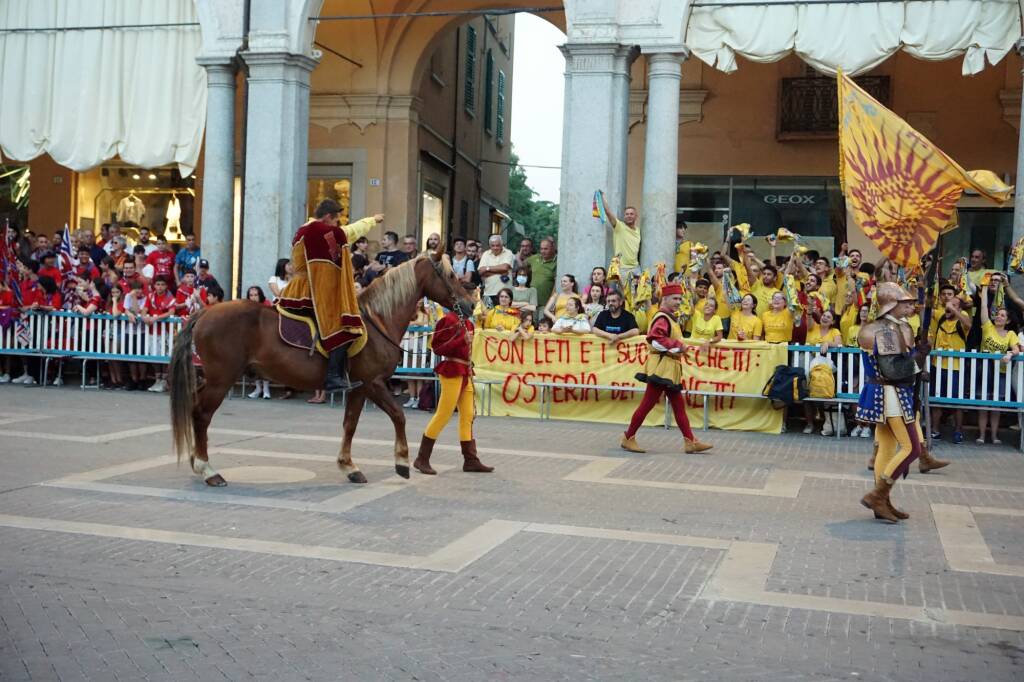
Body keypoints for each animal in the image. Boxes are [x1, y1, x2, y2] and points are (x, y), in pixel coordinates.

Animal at [167, 249, 475, 483]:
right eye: (449, 275)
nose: (470, 305)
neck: (377, 321)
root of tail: (205, 312)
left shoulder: (359, 388)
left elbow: (350, 424)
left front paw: (349, 466)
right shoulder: (373, 383)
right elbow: (398, 416)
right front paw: (401, 461)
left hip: (214, 378)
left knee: (196, 409)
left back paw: (198, 461)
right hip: (222, 379)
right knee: (202, 415)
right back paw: (208, 470)